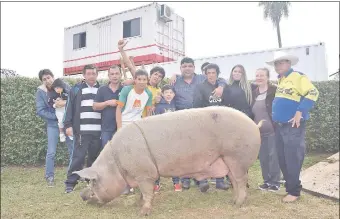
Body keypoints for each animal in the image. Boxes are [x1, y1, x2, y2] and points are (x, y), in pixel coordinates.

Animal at [73, 106, 262, 216]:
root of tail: (254, 124)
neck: (116, 164)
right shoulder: (142, 175)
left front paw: (143, 212)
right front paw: (137, 204)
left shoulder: (144, 174)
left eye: (93, 182)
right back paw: (232, 202)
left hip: (236, 157)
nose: (81, 195)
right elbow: (143, 192)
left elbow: (147, 192)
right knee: (235, 182)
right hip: (228, 161)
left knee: (240, 181)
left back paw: (238, 204)